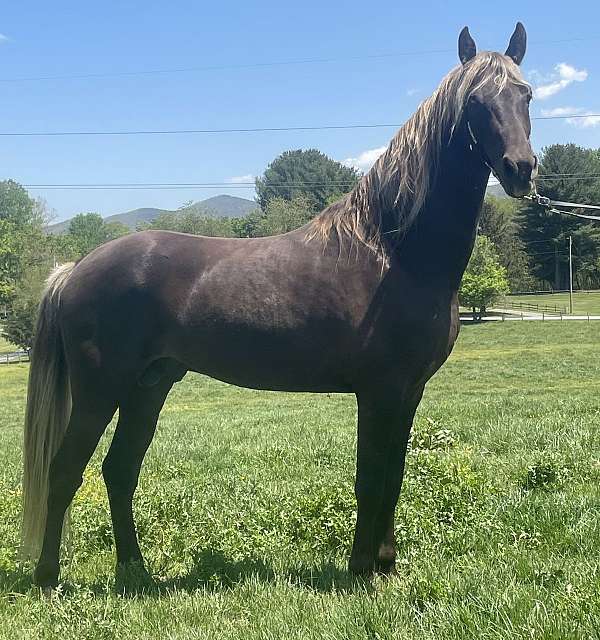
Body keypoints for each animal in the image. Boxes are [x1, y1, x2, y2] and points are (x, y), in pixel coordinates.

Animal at [21, 23, 536, 589]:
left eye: (527, 94)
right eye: (475, 102)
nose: (521, 169)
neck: (391, 251)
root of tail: (75, 269)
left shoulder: (408, 393)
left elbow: (394, 477)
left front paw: (384, 565)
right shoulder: (379, 391)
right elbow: (370, 478)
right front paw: (361, 570)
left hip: (148, 386)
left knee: (119, 470)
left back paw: (136, 572)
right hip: (101, 389)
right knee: (65, 469)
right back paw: (48, 578)